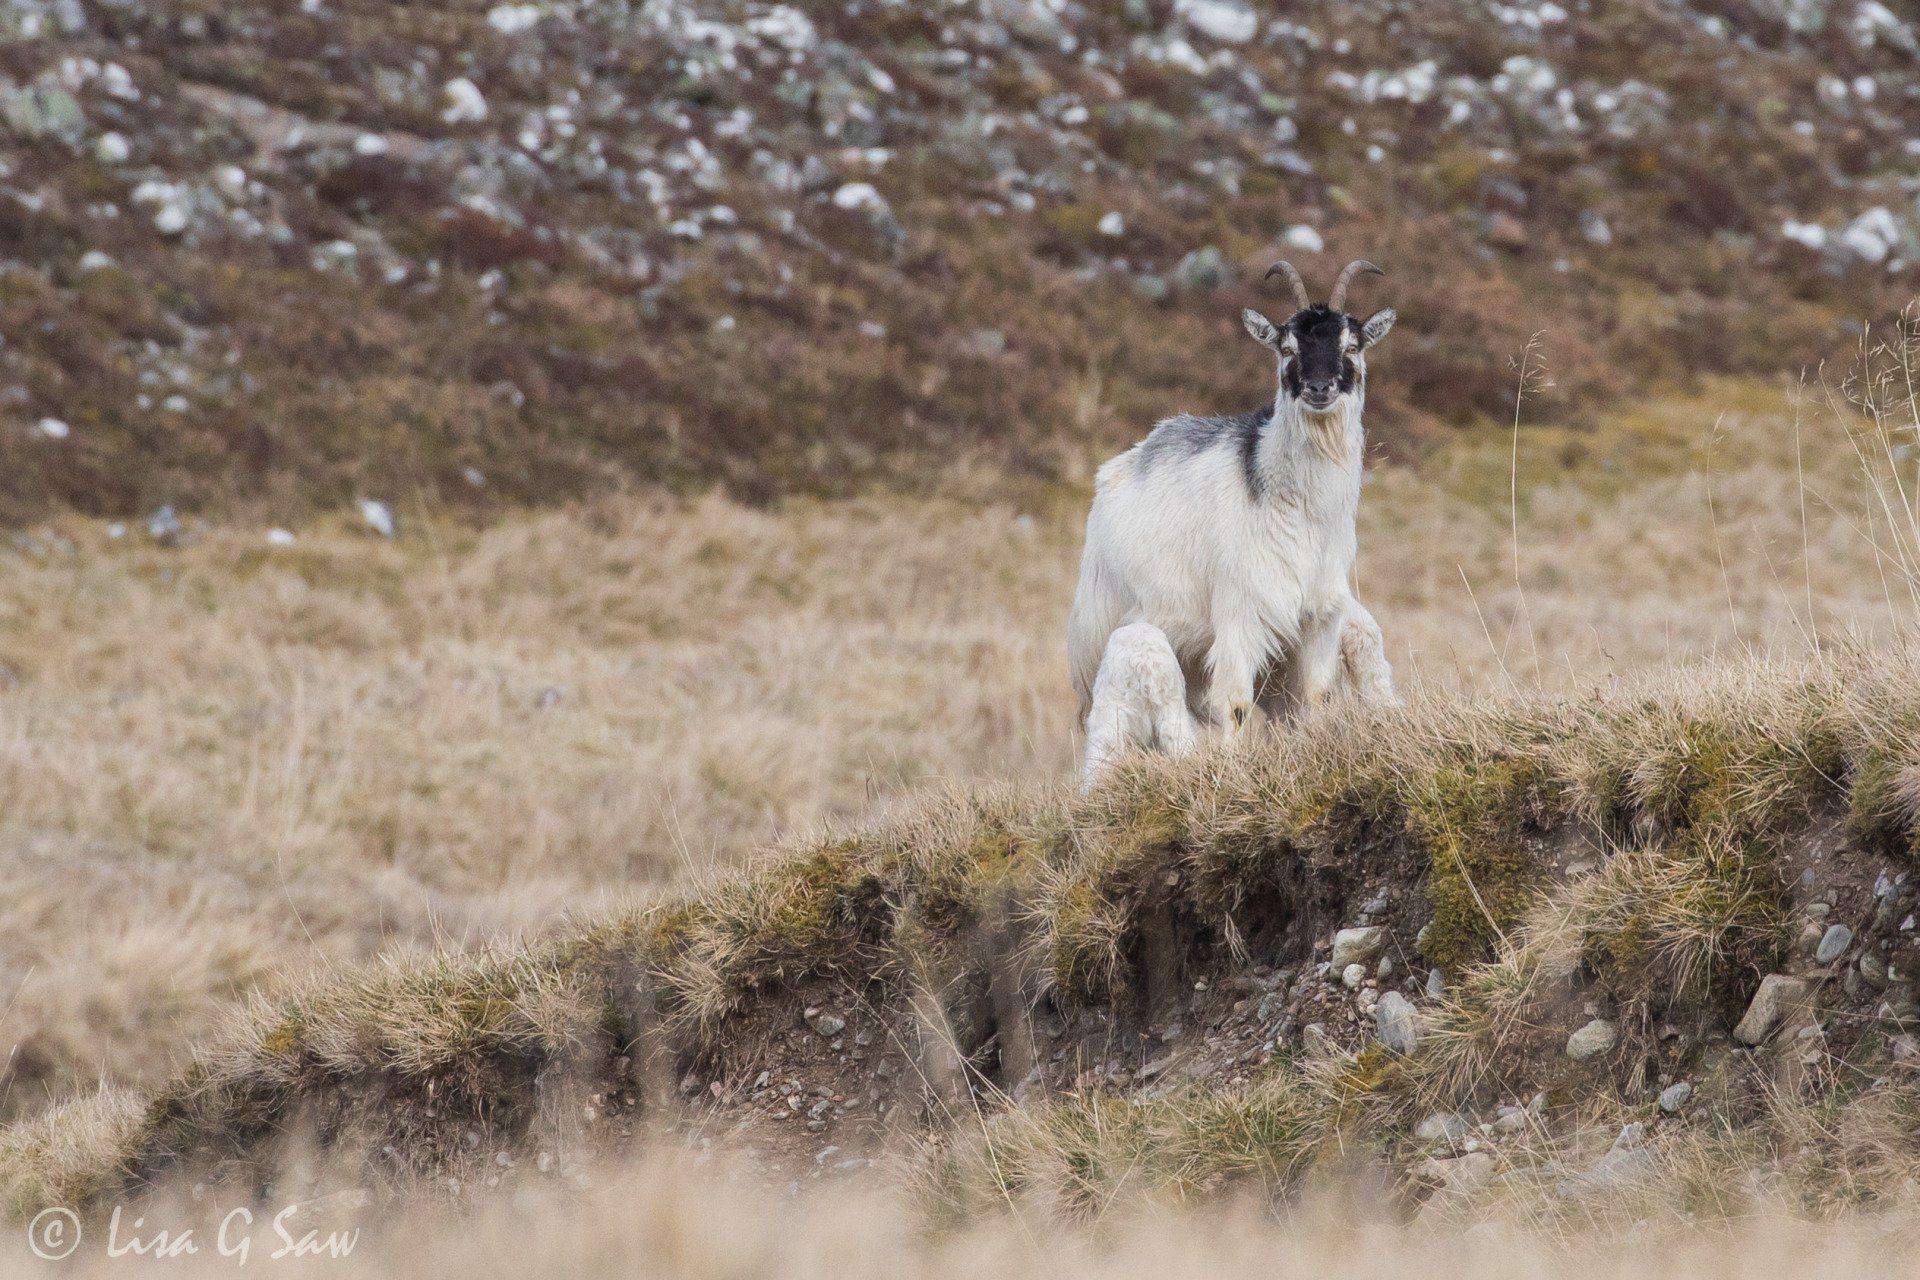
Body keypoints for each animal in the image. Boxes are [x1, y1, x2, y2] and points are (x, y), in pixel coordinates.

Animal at [1069, 258, 1398, 779]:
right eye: (1287, 349)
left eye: (1352, 346)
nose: (1319, 388)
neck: (1295, 509)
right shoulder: (1242, 615)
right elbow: (1237, 706)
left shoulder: (1318, 617)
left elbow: (1317, 697)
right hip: (1103, 638)